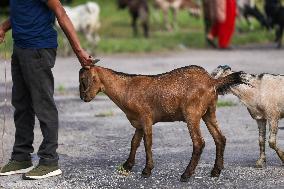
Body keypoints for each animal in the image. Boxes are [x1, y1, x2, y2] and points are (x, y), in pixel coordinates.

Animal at [79, 61, 244, 182]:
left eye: (83, 80)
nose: (83, 97)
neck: (127, 88)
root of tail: (212, 81)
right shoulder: (138, 122)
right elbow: (134, 142)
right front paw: (127, 165)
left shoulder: (146, 118)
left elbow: (147, 143)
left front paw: (146, 170)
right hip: (209, 112)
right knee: (220, 138)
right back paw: (216, 171)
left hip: (192, 114)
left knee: (199, 142)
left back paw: (186, 174)